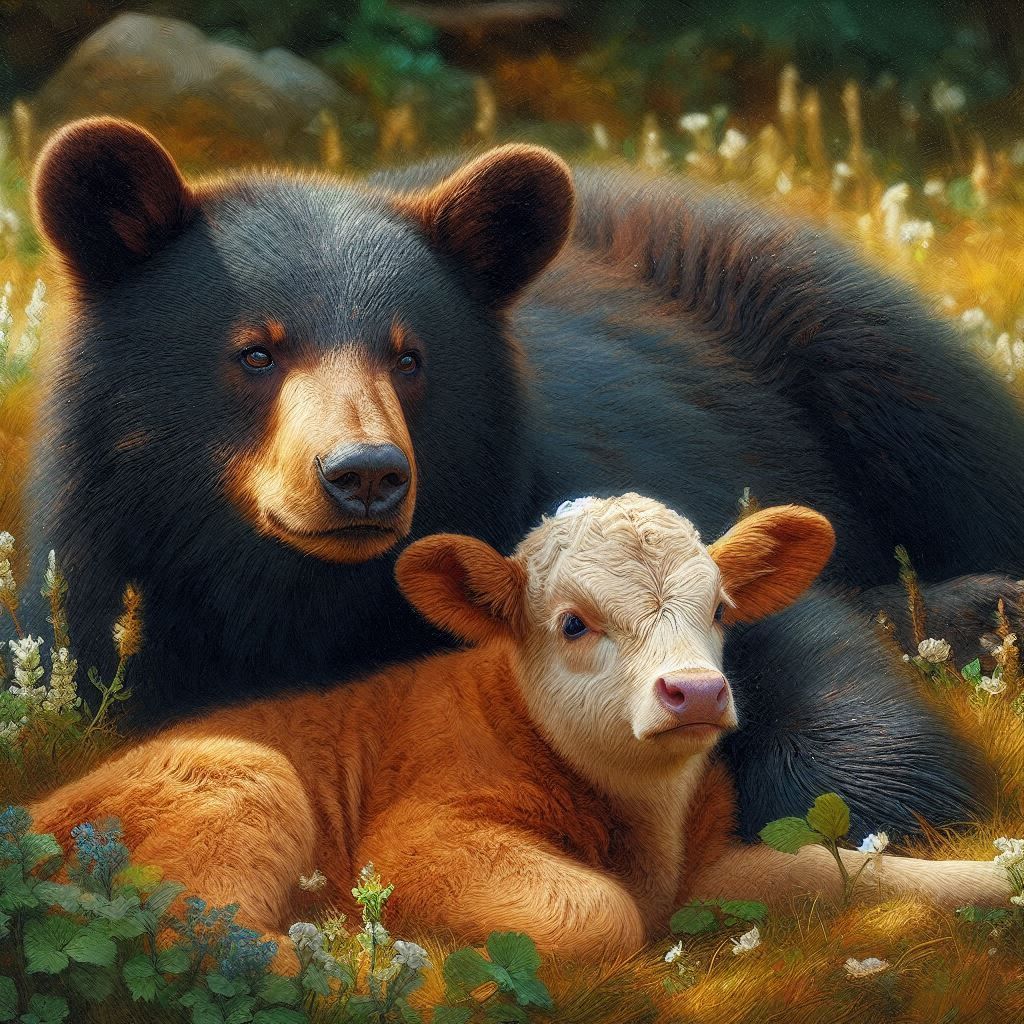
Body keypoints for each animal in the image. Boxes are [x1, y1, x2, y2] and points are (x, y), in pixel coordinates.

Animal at [19, 116, 1024, 842]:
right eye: (256, 351)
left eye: (411, 356)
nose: (365, 475)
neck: (301, 593)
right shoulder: (109, 616)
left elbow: (792, 644)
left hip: (833, 323)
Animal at [28, 494, 1010, 967]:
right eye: (573, 622)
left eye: (721, 608)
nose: (695, 692)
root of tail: (32, 819)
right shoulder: (420, 842)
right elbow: (603, 915)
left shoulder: (707, 870)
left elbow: (842, 869)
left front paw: (997, 880)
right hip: (244, 780)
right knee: (195, 933)